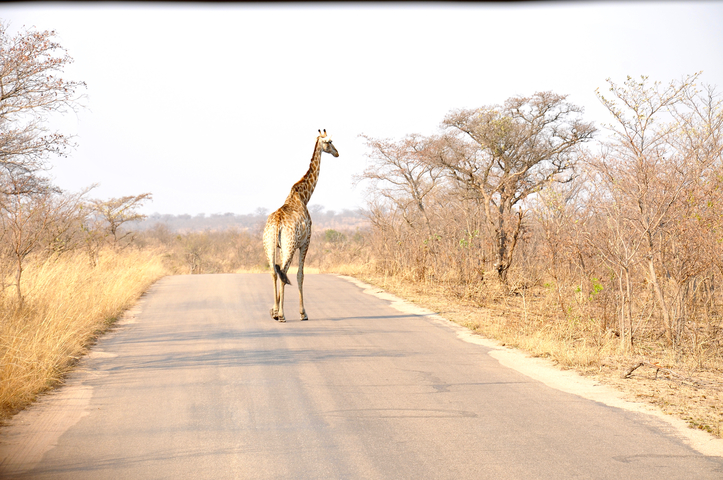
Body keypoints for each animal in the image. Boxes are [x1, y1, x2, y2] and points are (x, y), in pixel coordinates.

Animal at [262, 129, 339, 322]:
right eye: (330, 142)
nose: (337, 153)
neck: (304, 196)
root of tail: (277, 222)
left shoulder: (282, 246)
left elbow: (284, 273)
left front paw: (274, 310)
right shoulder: (305, 242)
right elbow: (300, 274)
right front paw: (302, 313)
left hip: (269, 244)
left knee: (274, 271)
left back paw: (276, 312)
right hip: (290, 245)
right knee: (283, 271)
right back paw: (283, 315)